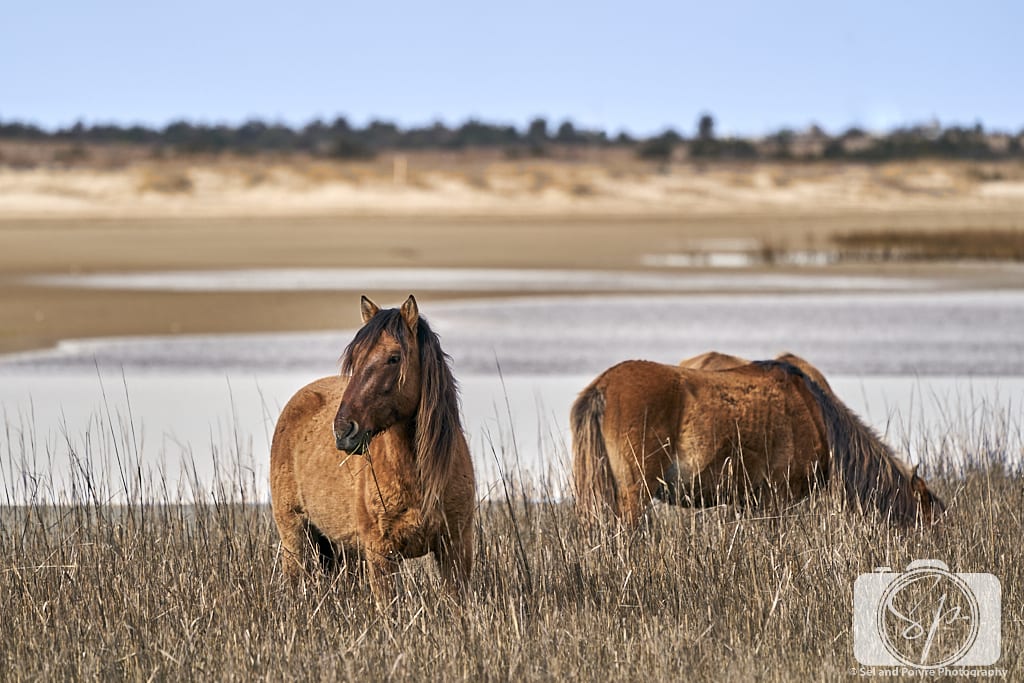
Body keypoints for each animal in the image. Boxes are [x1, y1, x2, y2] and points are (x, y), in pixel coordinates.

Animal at [270, 295, 476, 600]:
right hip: (294, 536)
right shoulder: (381, 555)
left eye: (394, 358)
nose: (343, 430)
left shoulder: (456, 547)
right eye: (355, 359)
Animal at [572, 357, 943, 528]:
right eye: (927, 519)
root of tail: (603, 386)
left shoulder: (748, 502)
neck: (815, 414)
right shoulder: (775, 499)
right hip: (635, 493)